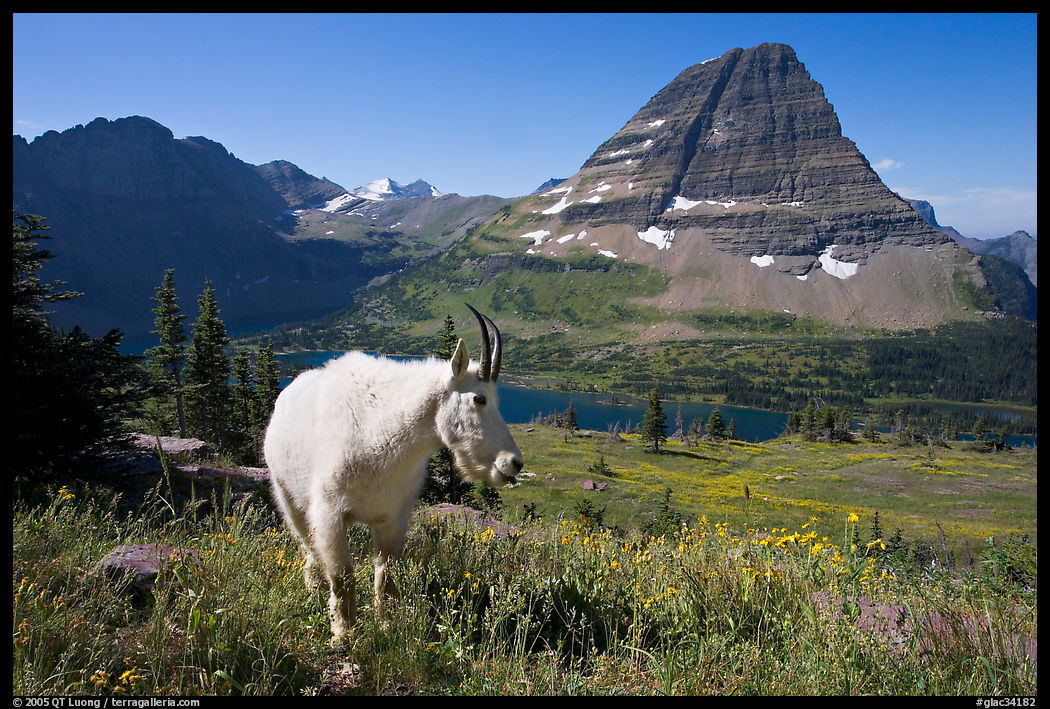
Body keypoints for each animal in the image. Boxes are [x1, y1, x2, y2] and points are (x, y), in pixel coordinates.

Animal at [263, 306, 523, 639]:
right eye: (479, 398)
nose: (513, 463)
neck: (386, 434)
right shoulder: (330, 513)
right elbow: (342, 575)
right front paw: (344, 632)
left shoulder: (392, 517)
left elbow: (385, 573)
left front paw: (386, 625)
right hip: (287, 495)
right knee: (306, 544)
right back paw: (313, 587)